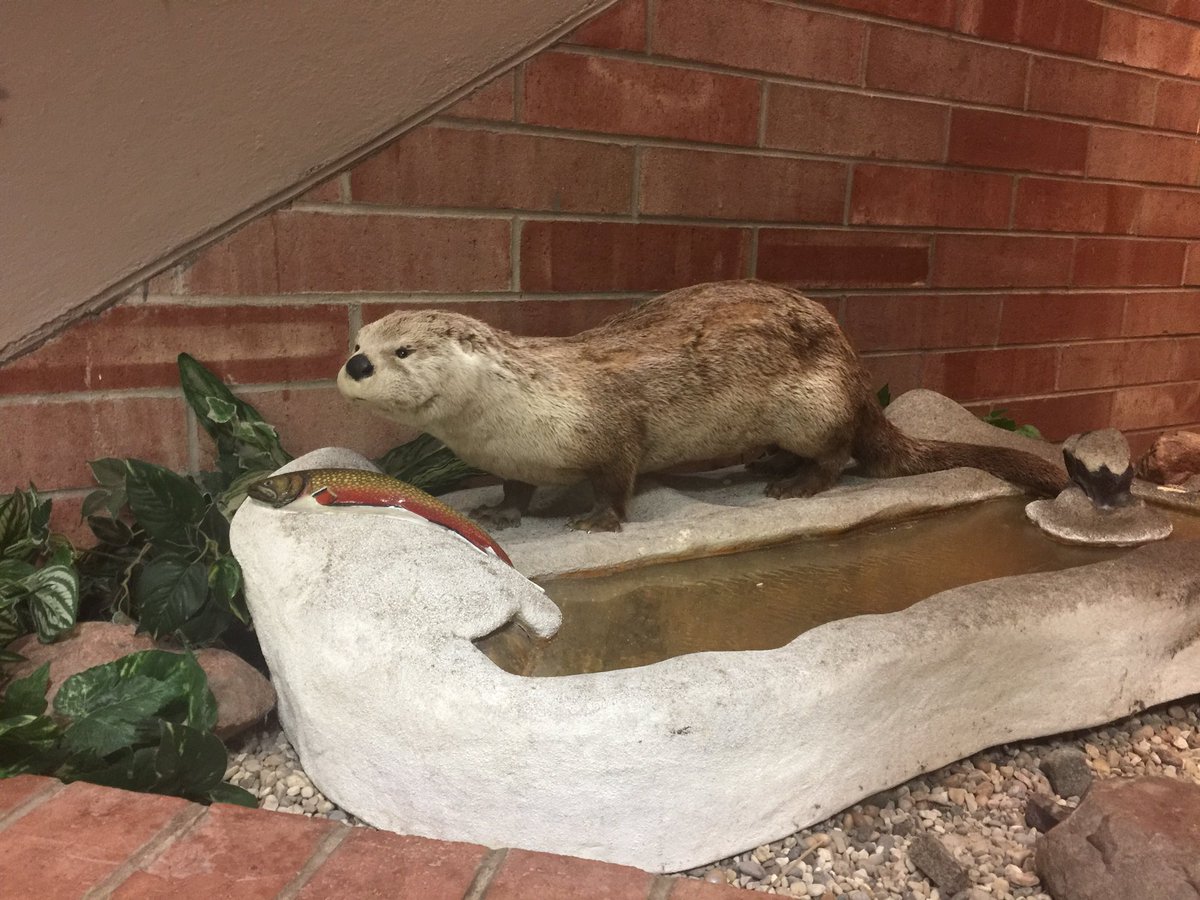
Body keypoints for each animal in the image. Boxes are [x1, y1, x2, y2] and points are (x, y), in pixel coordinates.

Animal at [337, 280, 1069, 532]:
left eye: (401, 349)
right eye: (356, 340)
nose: (355, 365)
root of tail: (860, 379)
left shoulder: (609, 426)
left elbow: (619, 478)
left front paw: (597, 520)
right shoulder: (513, 458)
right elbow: (515, 490)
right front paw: (500, 510)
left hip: (817, 404)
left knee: (837, 455)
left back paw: (794, 484)